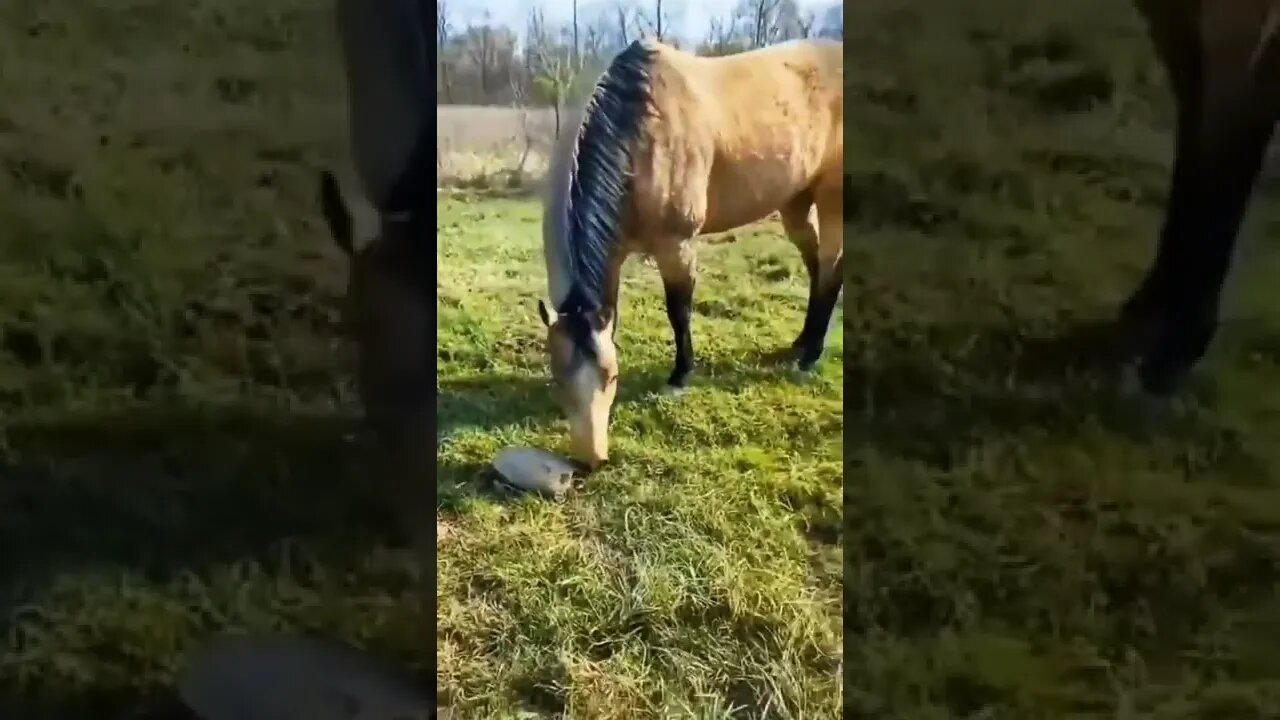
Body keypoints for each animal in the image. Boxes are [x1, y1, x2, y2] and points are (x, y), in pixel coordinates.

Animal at [535, 37, 844, 466]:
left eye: (610, 377)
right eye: (559, 376)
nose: (591, 458)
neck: (639, 135)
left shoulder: (677, 245)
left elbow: (678, 310)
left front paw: (680, 376)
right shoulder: (614, 257)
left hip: (832, 197)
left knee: (831, 269)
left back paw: (810, 355)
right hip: (795, 200)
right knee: (816, 266)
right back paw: (802, 342)